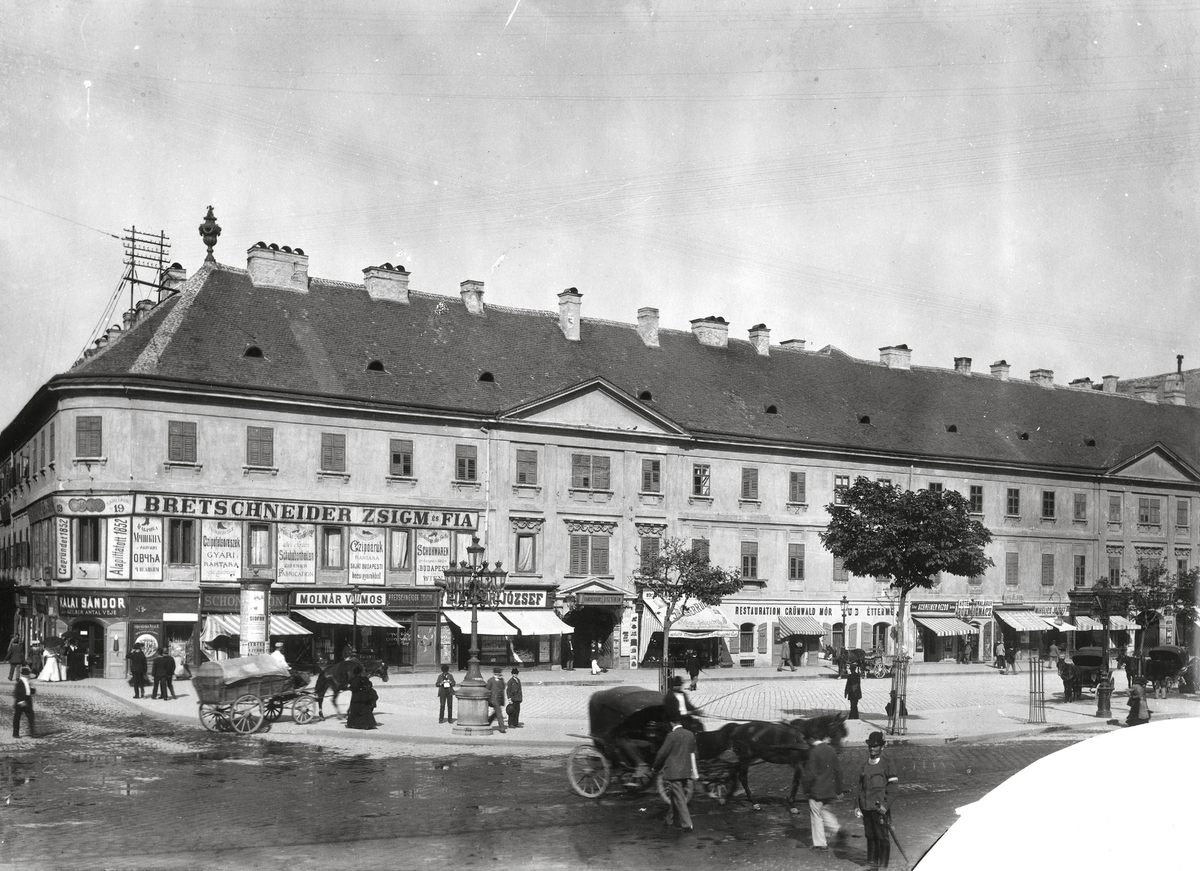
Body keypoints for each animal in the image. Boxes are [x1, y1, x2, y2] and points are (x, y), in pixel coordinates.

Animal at [696, 715, 854, 815]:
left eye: (844, 733)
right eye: (837, 729)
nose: (838, 749)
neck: (803, 736)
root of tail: (736, 728)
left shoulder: (804, 762)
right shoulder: (797, 763)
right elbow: (796, 782)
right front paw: (792, 805)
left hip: (747, 758)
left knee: (734, 772)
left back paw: (728, 794)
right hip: (746, 757)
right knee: (742, 777)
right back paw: (751, 802)